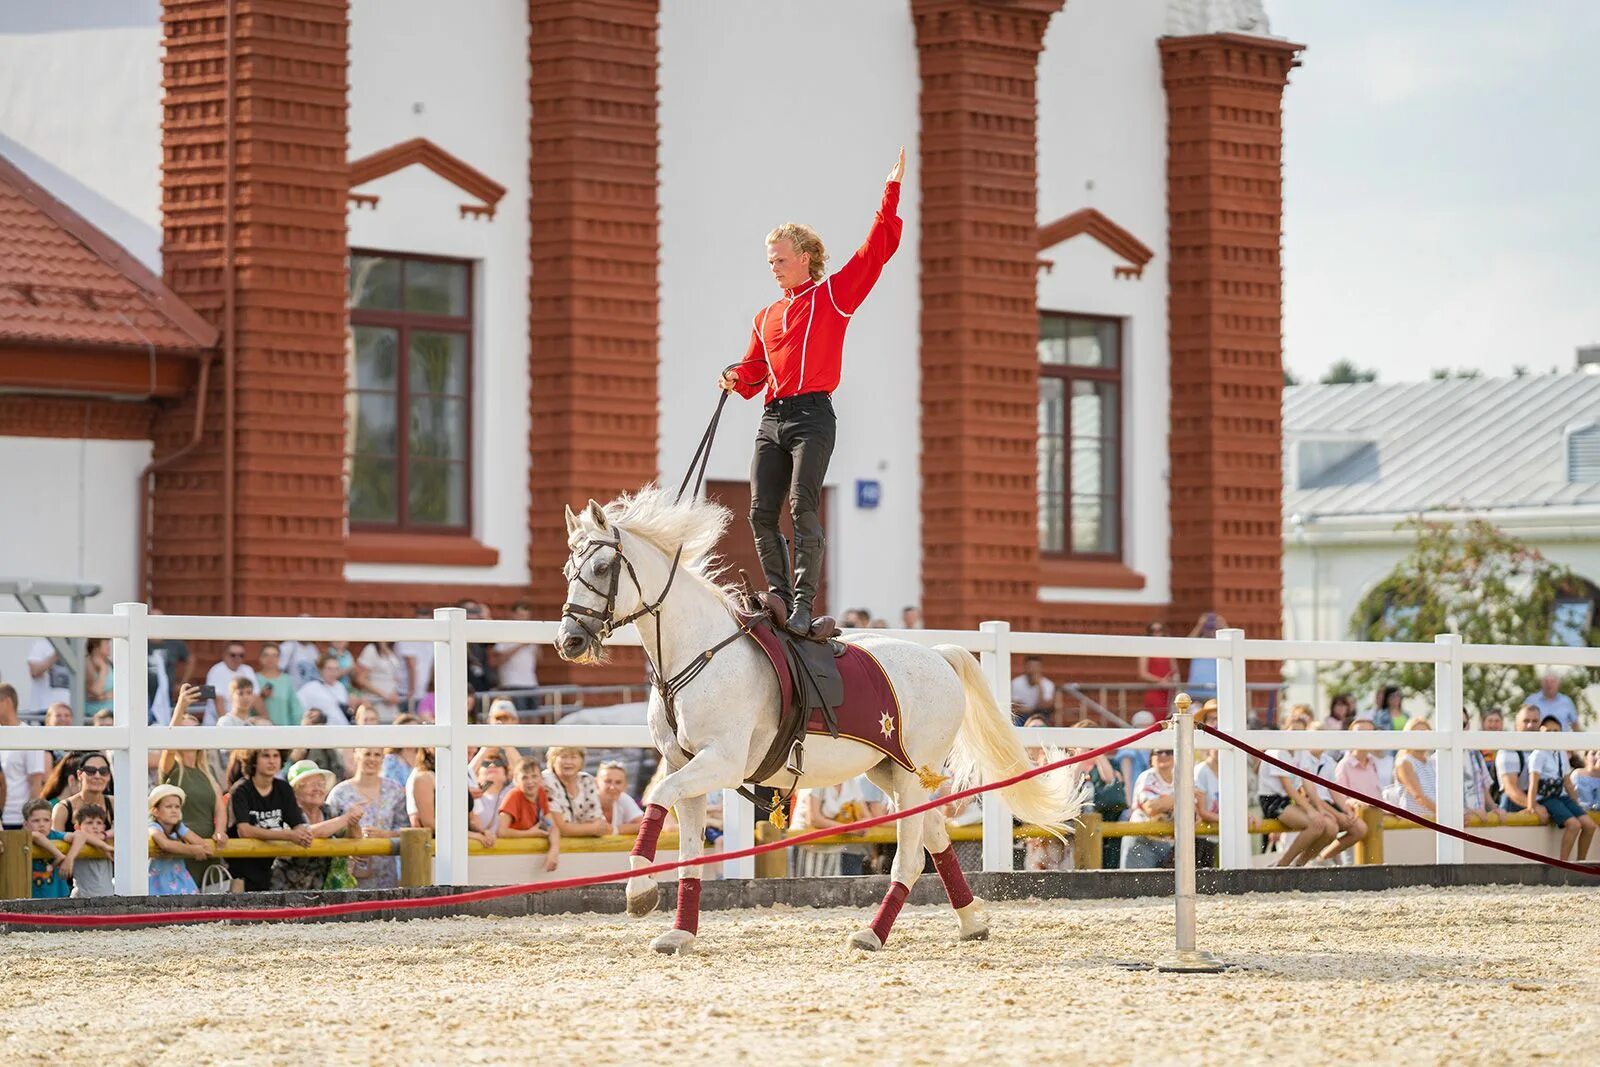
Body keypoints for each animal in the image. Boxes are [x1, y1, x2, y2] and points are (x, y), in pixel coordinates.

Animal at [556, 489, 1081, 953]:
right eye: (567, 570)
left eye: (602, 568)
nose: (570, 642)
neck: (699, 651)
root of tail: (938, 655)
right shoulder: (682, 764)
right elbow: (687, 852)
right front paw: (679, 933)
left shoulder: (719, 762)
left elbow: (659, 799)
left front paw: (639, 891)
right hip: (890, 773)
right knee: (935, 836)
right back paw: (972, 922)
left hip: (912, 777)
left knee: (910, 859)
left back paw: (873, 934)